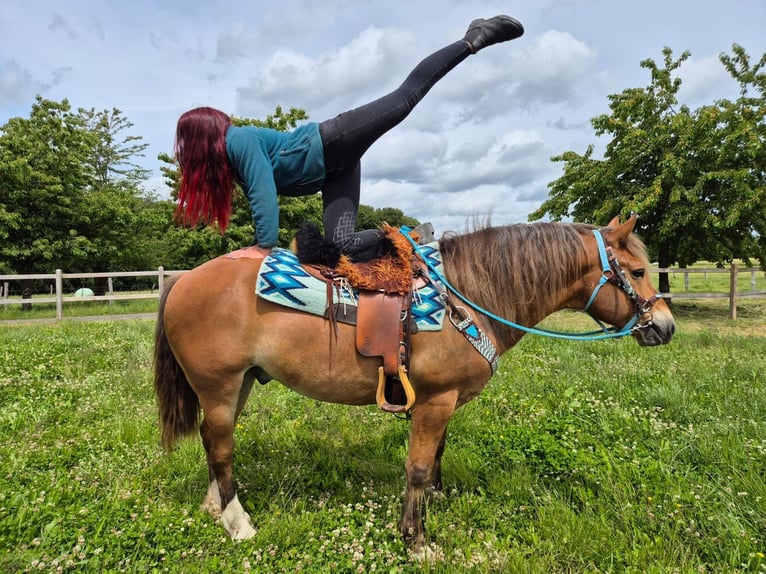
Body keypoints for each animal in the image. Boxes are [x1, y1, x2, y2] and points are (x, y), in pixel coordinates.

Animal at [153, 214, 675, 547]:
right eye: (638, 271)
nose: (666, 326)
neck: (469, 296)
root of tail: (181, 280)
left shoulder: (441, 403)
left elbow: (436, 458)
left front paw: (434, 506)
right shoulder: (435, 402)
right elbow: (419, 468)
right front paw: (416, 540)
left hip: (237, 385)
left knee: (213, 440)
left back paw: (215, 507)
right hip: (220, 386)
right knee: (221, 445)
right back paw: (238, 523)